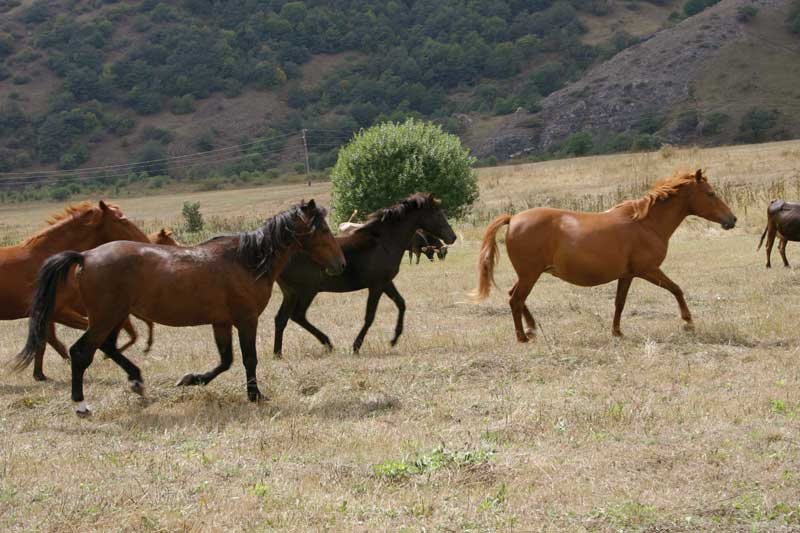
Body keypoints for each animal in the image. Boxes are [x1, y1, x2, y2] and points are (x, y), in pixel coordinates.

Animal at [0, 200, 152, 378]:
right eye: (122, 221)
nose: (145, 241)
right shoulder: (58, 312)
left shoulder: (49, 313)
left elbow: (44, 341)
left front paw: (40, 375)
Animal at [274, 193, 456, 356]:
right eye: (438, 214)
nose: (452, 237)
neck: (384, 242)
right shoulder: (376, 286)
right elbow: (370, 316)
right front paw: (356, 346)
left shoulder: (386, 283)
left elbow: (401, 303)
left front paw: (394, 339)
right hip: (307, 291)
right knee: (297, 316)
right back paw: (327, 343)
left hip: (291, 293)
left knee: (281, 318)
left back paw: (278, 353)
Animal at [476, 169, 736, 340]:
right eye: (710, 193)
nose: (731, 219)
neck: (646, 224)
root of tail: (513, 218)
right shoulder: (648, 270)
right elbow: (676, 289)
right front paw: (688, 322)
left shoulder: (627, 275)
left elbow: (619, 303)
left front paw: (617, 332)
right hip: (530, 274)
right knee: (515, 299)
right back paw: (522, 336)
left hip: (529, 274)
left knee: (516, 297)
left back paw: (531, 329)